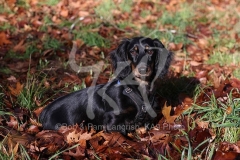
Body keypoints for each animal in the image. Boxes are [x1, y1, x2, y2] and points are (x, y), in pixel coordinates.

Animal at [39, 36, 172, 135]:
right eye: (133, 51)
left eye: (150, 51)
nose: (143, 70)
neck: (137, 90)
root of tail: (43, 113)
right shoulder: (112, 122)